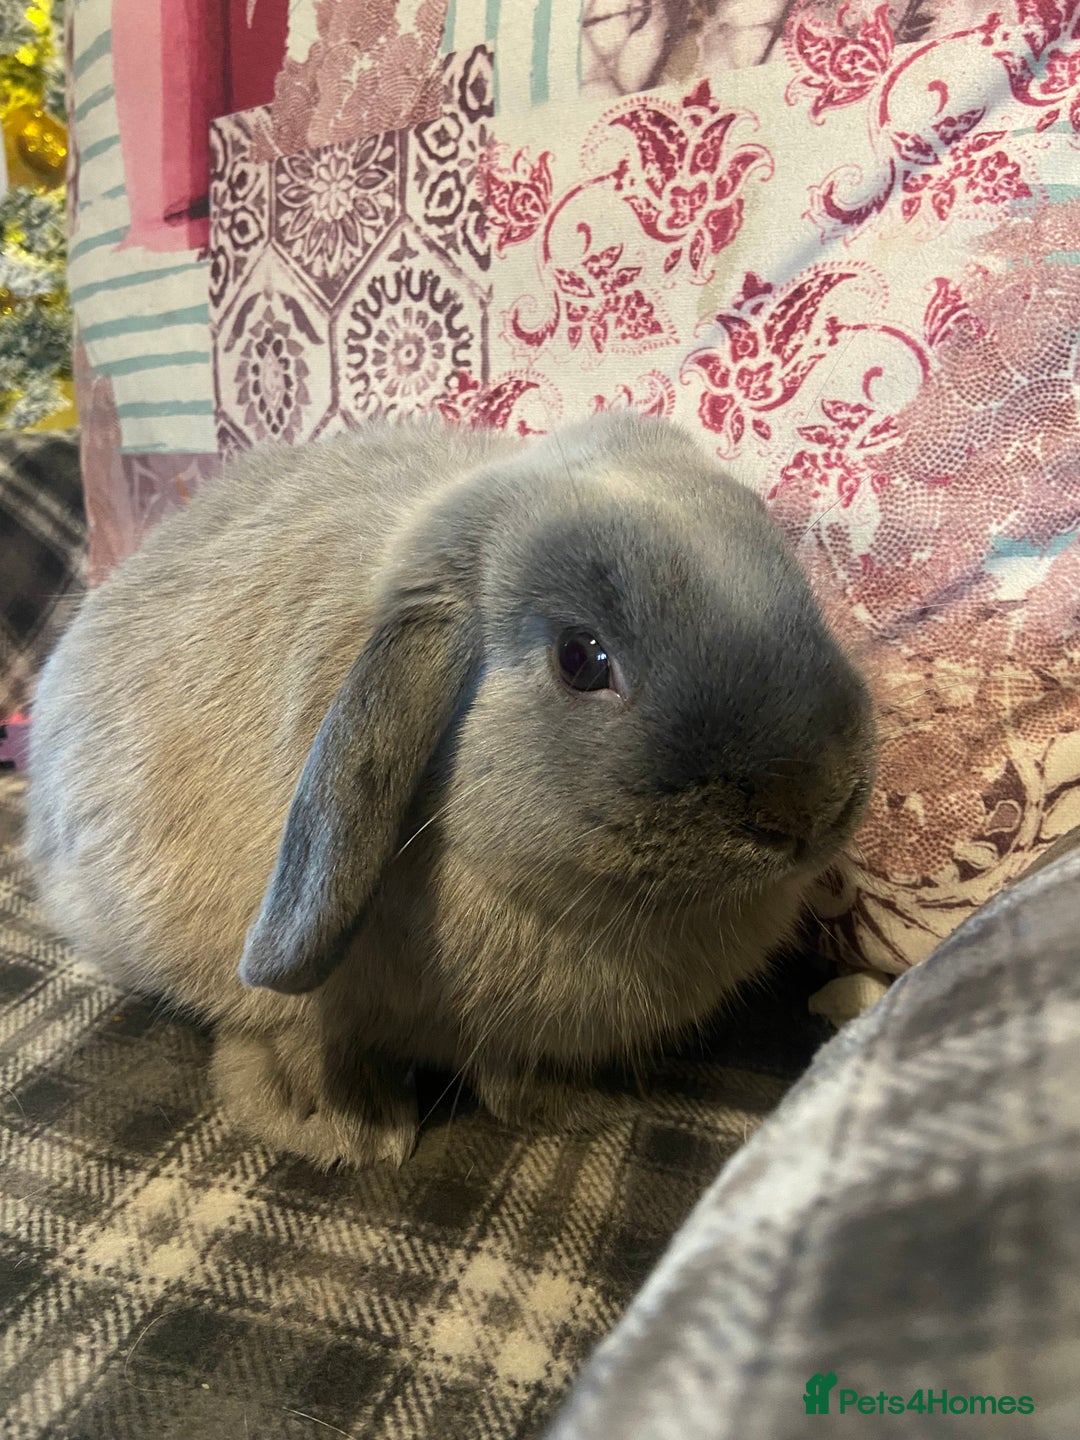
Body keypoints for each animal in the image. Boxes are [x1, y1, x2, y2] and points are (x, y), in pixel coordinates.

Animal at [26, 412, 876, 1169]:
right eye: (581, 659)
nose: (812, 809)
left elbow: (513, 1075)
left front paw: (580, 1107)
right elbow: (289, 1036)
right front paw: (344, 1128)